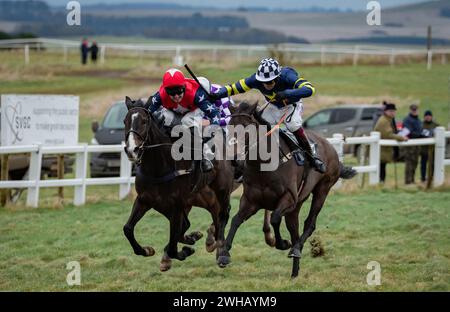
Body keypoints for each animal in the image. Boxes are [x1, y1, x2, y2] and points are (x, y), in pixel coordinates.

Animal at [123, 97, 236, 270]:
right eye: (125, 121)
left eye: (143, 121)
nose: (131, 150)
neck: (159, 167)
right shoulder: (144, 200)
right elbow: (128, 229)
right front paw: (147, 250)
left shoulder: (176, 205)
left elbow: (173, 243)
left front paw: (183, 251)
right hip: (196, 198)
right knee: (194, 222)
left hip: (221, 190)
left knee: (222, 215)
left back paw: (222, 253)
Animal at [220, 103, 356, 278]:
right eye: (229, 128)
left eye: (246, 129)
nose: (235, 160)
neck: (265, 166)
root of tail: (331, 147)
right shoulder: (250, 201)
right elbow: (236, 220)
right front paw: (224, 255)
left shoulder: (289, 198)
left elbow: (275, 219)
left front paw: (283, 243)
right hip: (296, 206)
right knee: (294, 229)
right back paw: (294, 272)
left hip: (322, 190)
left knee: (309, 224)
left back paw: (296, 249)